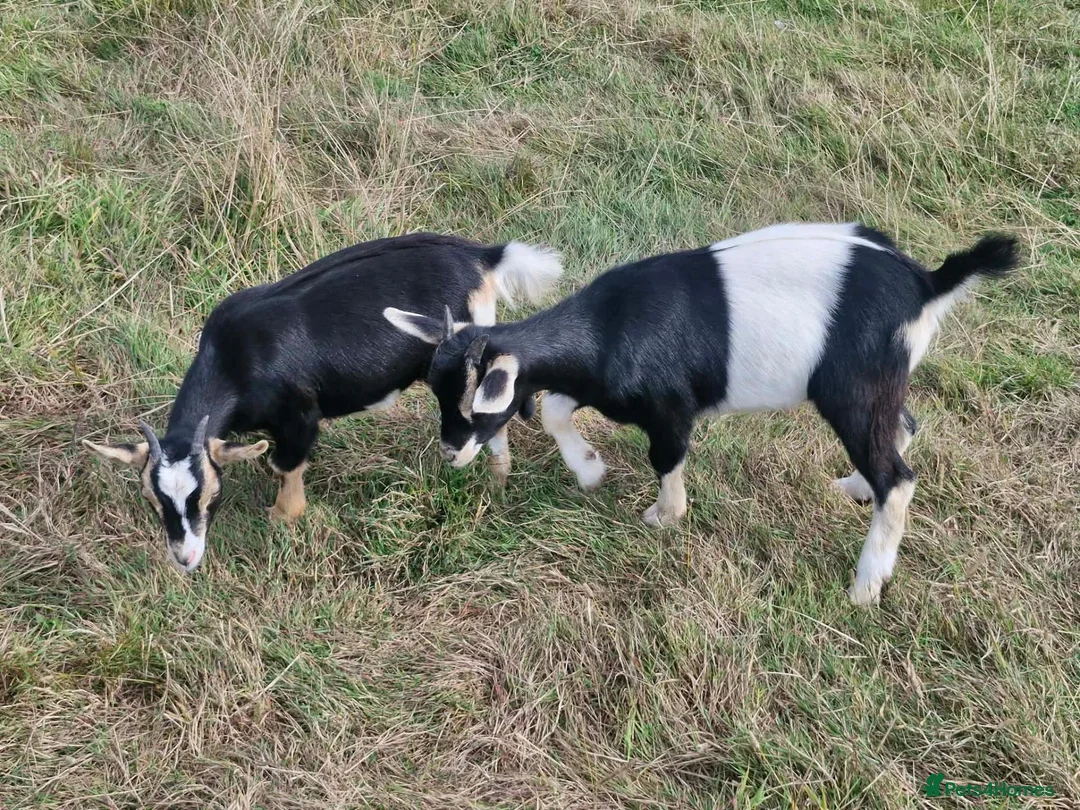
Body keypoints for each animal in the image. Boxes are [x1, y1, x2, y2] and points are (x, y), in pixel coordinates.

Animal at [84, 233, 562, 573]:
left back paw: (496, 483)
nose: (185, 558)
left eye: (209, 494)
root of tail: (484, 255)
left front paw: (283, 517)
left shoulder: (299, 417)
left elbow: (286, 467)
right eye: (151, 498)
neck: (234, 360)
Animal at [384, 223, 1019, 605]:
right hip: (881, 387)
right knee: (903, 429)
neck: (609, 326)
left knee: (899, 477)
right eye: (435, 390)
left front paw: (664, 516)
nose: (450, 453)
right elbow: (556, 408)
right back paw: (855, 488)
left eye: (475, 404)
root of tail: (927, 284)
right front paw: (589, 469)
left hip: (854, 390)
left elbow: (665, 456)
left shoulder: (670, 407)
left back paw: (867, 584)